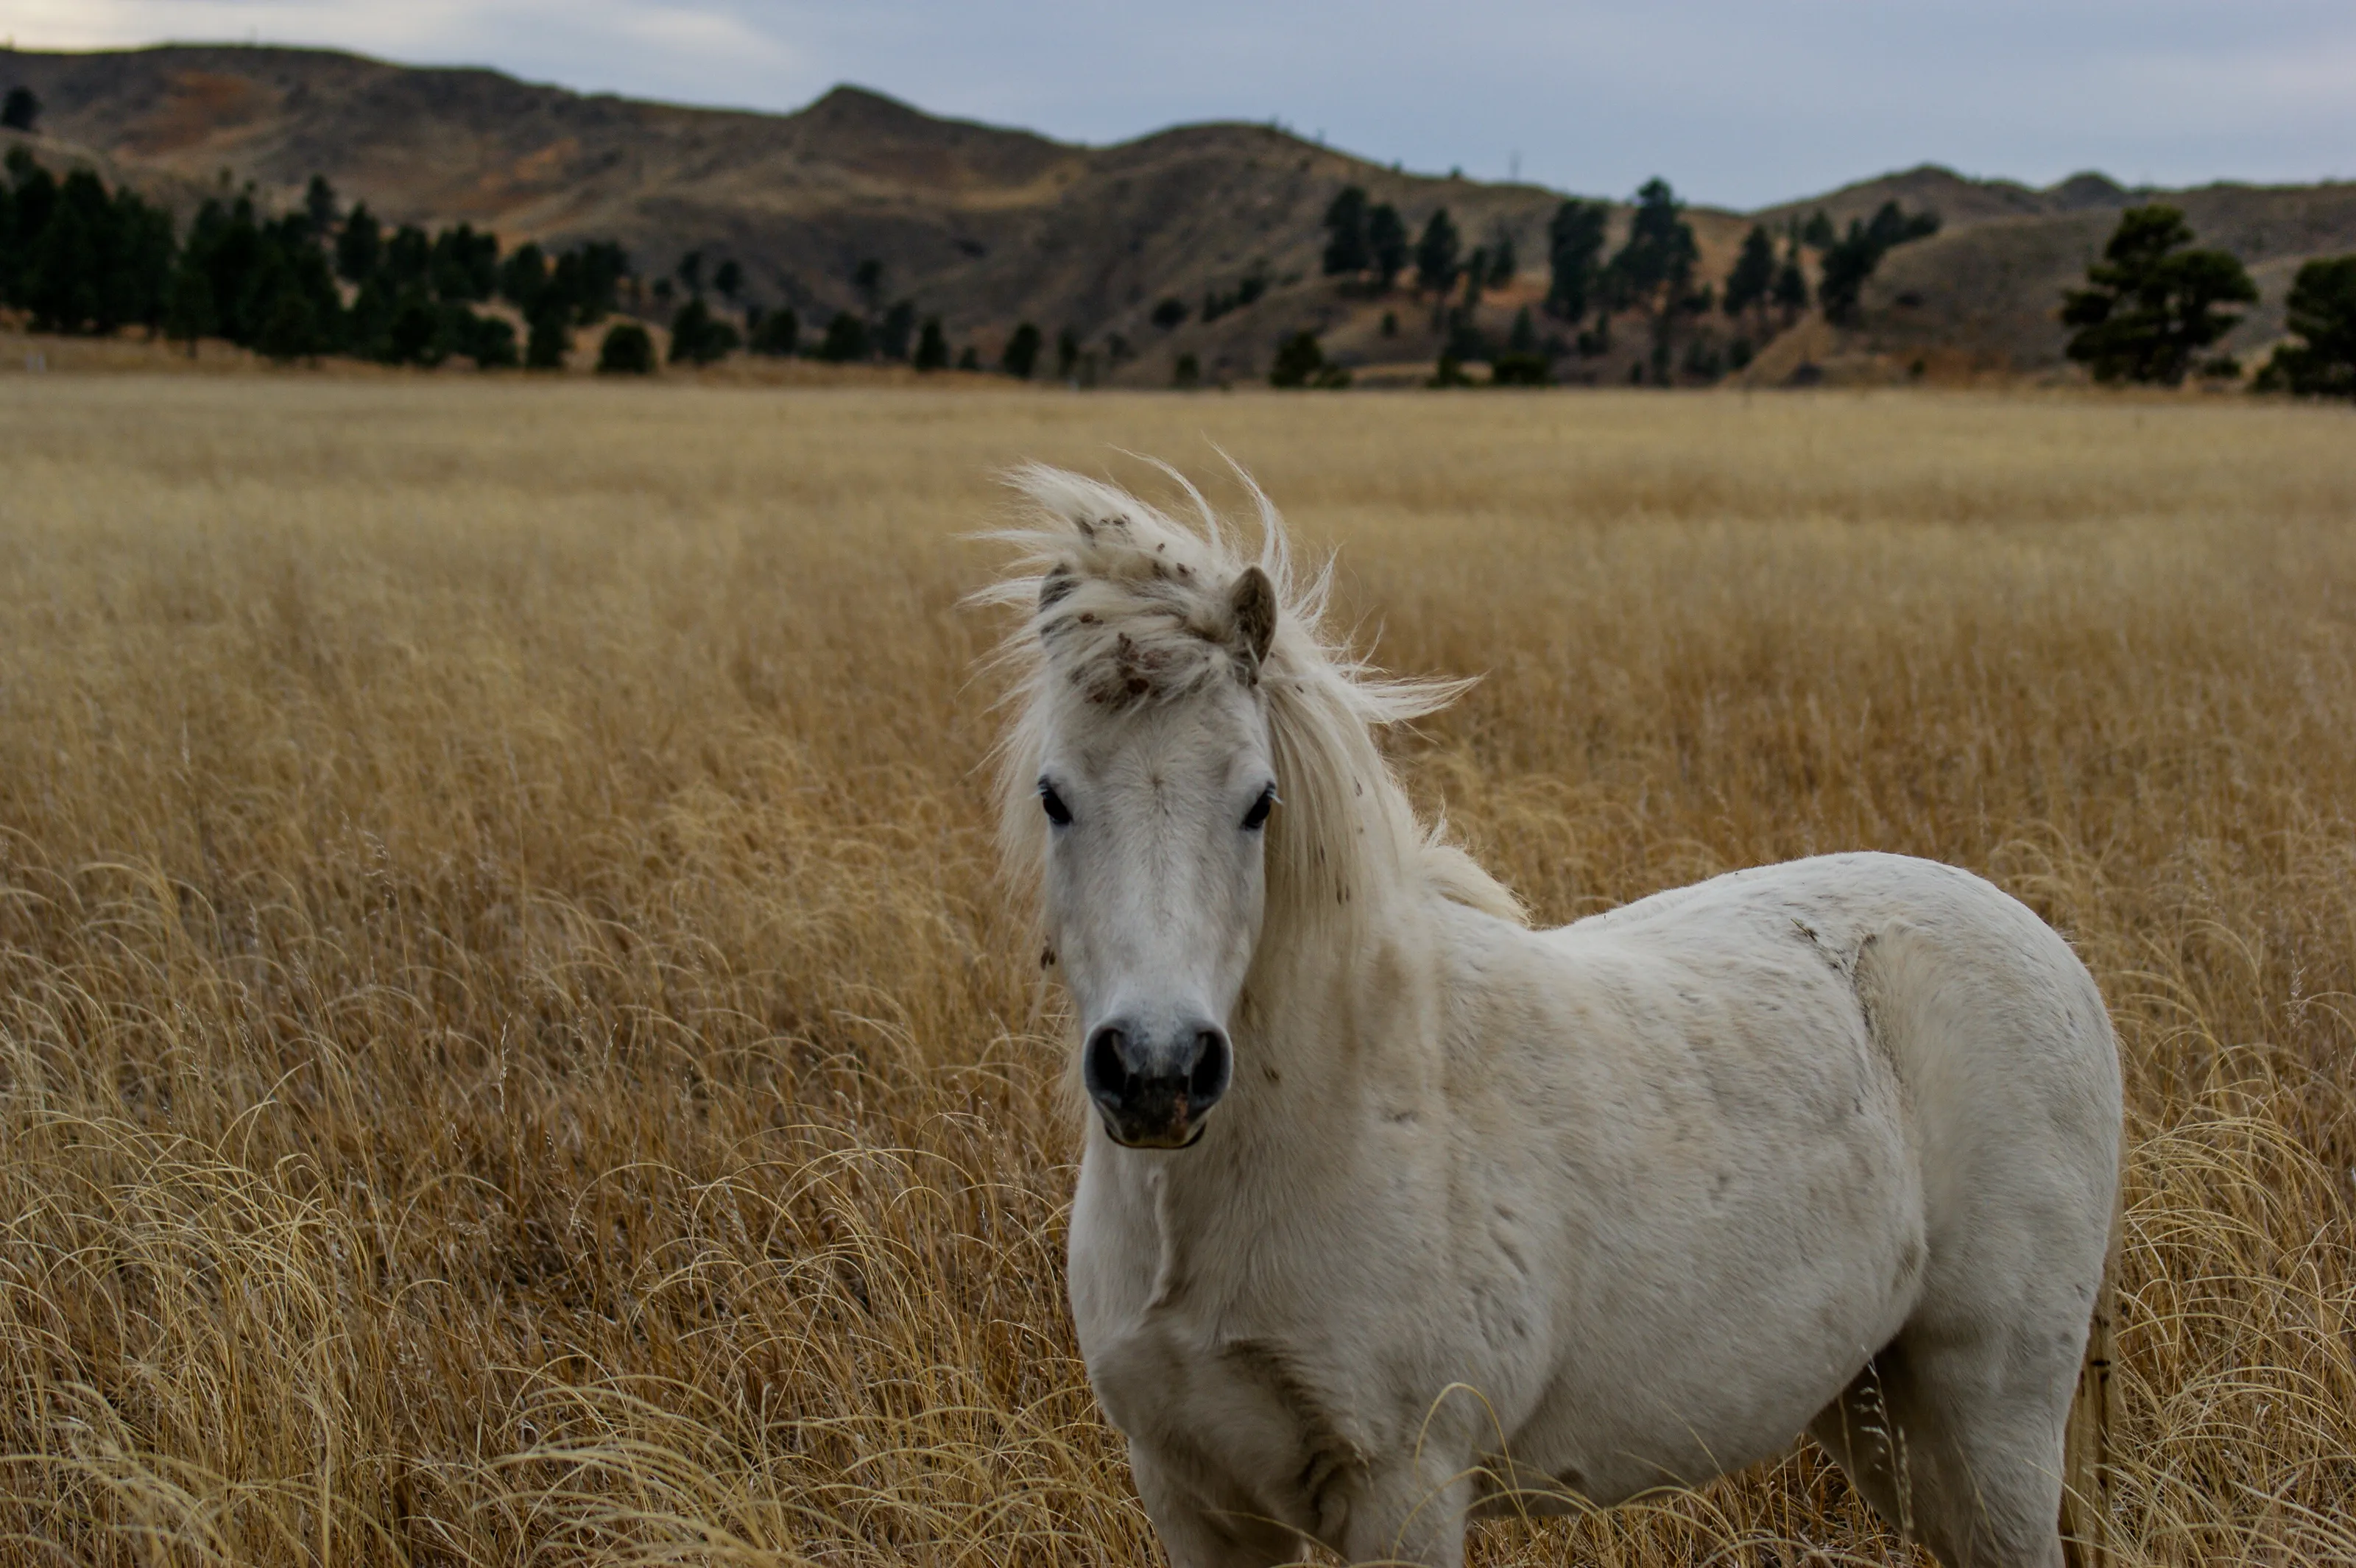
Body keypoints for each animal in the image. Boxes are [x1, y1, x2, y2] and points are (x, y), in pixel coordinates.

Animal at [983, 464, 2123, 1568]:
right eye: (1054, 797)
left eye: (1258, 803)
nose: (1158, 1072)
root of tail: (2041, 941)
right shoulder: (1192, 1498)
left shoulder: (1406, 1493)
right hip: (1879, 1408)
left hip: (1991, 1425)